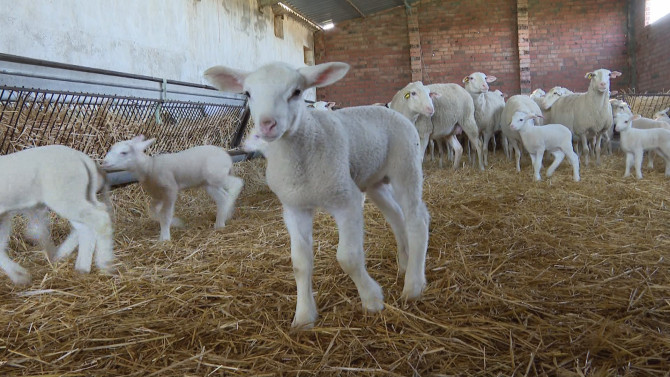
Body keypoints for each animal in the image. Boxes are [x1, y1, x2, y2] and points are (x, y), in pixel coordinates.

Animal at [0, 145, 114, 284]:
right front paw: (19, 276)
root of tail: (83, 158)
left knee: (100, 219)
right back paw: (82, 267)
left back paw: (105, 264)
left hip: (65, 197)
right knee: (88, 225)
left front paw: (19, 275)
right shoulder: (3, 215)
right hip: (78, 197)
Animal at [101, 138, 243, 241]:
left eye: (124, 152)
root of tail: (227, 157)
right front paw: (176, 223)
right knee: (222, 198)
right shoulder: (157, 196)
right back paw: (221, 221)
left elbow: (165, 214)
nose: (104, 162)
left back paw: (226, 213)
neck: (150, 167)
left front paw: (164, 238)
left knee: (237, 184)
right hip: (209, 183)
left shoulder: (170, 191)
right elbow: (153, 212)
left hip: (216, 176)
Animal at [205, 61, 434, 326]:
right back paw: (405, 263)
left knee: (417, 219)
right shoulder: (294, 208)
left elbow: (348, 258)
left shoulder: (347, 200)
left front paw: (372, 300)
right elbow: (300, 263)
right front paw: (304, 316)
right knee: (397, 217)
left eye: (296, 92)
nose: (267, 125)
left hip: (405, 166)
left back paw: (413, 285)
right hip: (374, 180)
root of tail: (396, 112)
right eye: (248, 93)